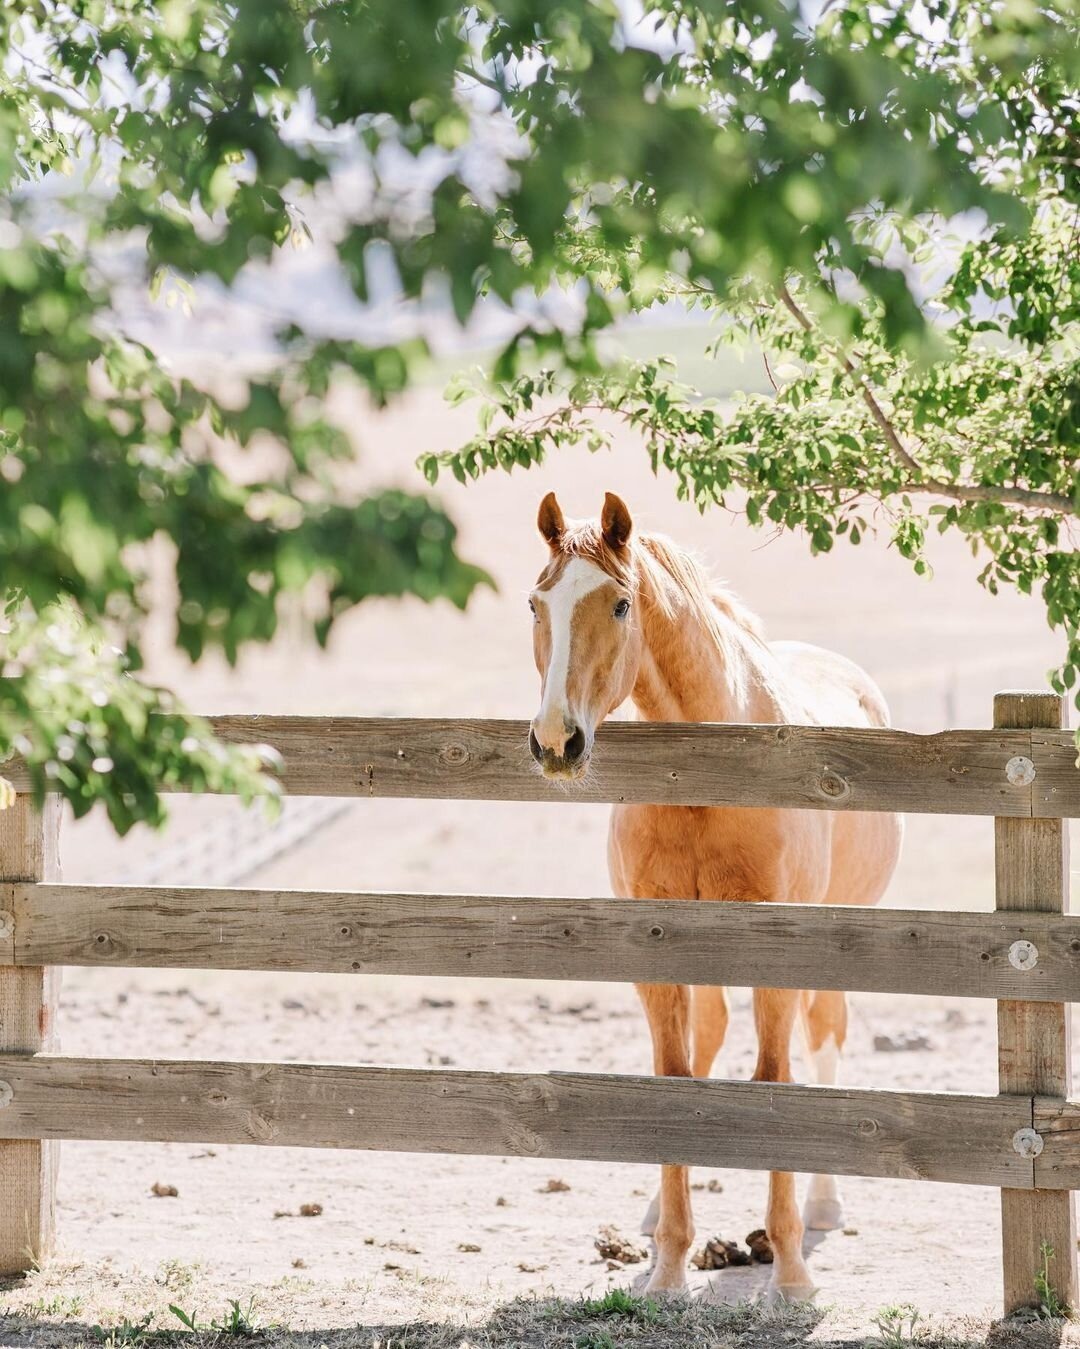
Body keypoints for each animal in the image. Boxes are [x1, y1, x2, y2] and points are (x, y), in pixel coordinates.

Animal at [523, 491, 900, 1300]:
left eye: (620, 603)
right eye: (537, 603)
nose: (557, 742)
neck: (708, 771)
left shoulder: (779, 959)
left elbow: (775, 1078)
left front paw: (789, 1273)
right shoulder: (657, 954)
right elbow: (675, 1076)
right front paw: (667, 1265)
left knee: (825, 1038)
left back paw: (824, 1204)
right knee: (710, 1039)